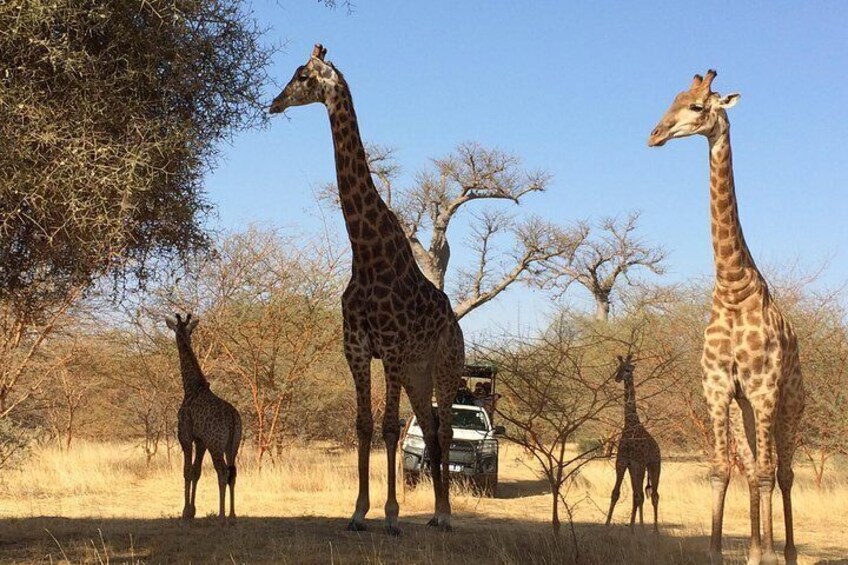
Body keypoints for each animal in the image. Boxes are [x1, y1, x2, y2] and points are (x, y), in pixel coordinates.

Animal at [166, 310, 243, 524]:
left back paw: (221, 516)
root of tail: (233, 418)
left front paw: (185, 513)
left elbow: (186, 471)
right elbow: (196, 471)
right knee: (233, 472)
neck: (192, 387)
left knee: (223, 472)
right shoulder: (201, 441)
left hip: (216, 445)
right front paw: (192, 511)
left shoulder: (185, 436)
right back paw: (232, 516)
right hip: (233, 445)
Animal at [268, 44, 464, 532]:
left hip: (445, 362)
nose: (274, 102)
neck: (367, 251)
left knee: (446, 428)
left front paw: (391, 516)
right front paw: (358, 511)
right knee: (429, 428)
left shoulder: (390, 347)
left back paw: (445, 515)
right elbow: (363, 424)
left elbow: (391, 427)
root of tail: (456, 323)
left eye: (302, 76)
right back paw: (435, 512)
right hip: (417, 372)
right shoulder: (356, 346)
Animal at [604, 354, 664, 532]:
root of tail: (658, 448)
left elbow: (640, 496)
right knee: (637, 494)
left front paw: (637, 529)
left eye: (628, 369)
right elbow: (616, 493)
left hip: (654, 465)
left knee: (654, 495)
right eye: (617, 368)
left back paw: (655, 531)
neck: (630, 425)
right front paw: (606, 526)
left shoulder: (639, 463)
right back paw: (637, 526)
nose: (617, 378)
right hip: (635, 469)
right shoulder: (623, 462)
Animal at [648, 71, 808, 564]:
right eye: (674, 99)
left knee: (782, 471)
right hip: (746, 412)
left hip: (788, 404)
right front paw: (721, 551)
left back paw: (784, 552)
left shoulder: (763, 389)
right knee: (757, 467)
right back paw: (760, 547)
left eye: (699, 107)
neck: (734, 289)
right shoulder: (719, 390)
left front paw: (767, 555)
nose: (655, 135)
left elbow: (767, 473)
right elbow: (722, 470)